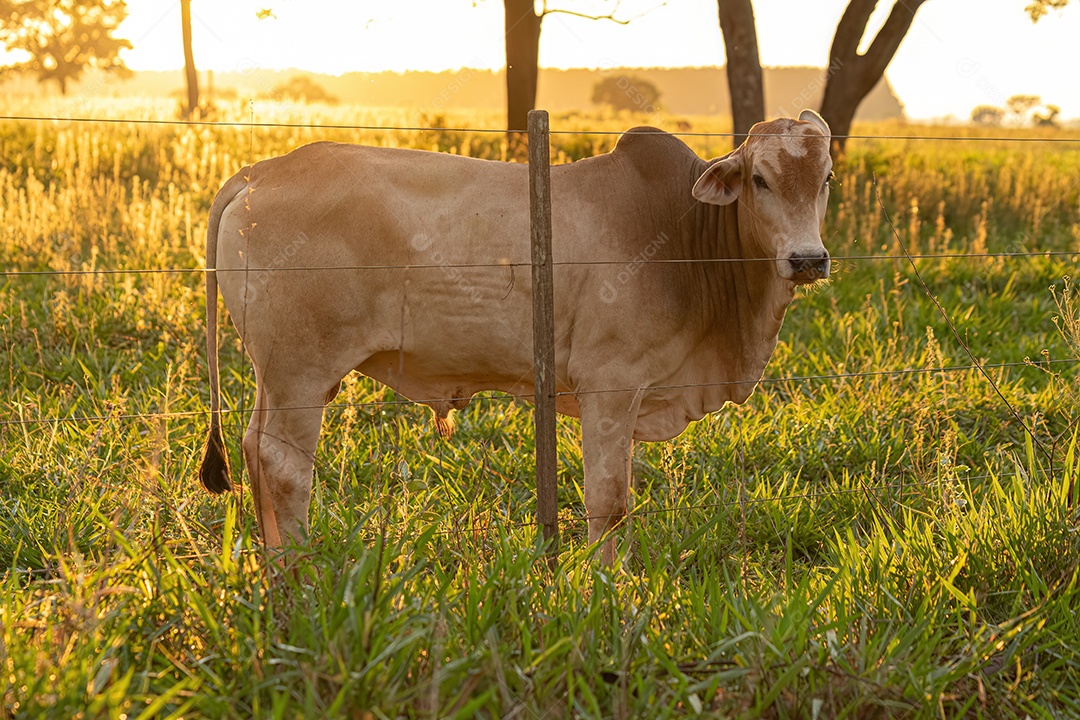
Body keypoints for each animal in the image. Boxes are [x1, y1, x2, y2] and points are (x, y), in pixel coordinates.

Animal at [199, 110, 833, 564]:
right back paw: (298, 575)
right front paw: (609, 590)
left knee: (255, 449)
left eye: (826, 179)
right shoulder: (611, 386)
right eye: (759, 179)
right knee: (284, 466)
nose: (808, 259)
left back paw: (272, 566)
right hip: (301, 371)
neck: (684, 236)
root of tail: (260, 173)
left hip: (278, 374)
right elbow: (610, 502)